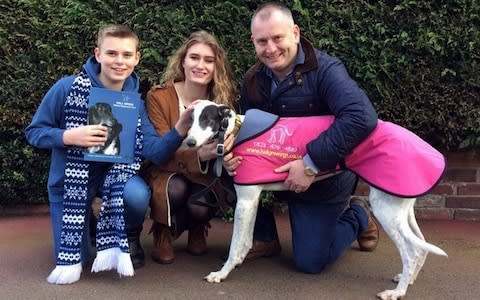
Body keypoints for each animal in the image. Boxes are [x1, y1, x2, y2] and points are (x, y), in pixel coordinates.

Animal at [186, 99, 448, 298]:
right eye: (191, 120)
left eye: (207, 119)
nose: (188, 142)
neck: (236, 130)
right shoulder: (251, 198)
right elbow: (245, 242)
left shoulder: (247, 200)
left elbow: (236, 244)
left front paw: (222, 273)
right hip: (401, 208)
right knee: (420, 246)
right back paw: (408, 279)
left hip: (386, 210)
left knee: (411, 252)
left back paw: (397, 292)